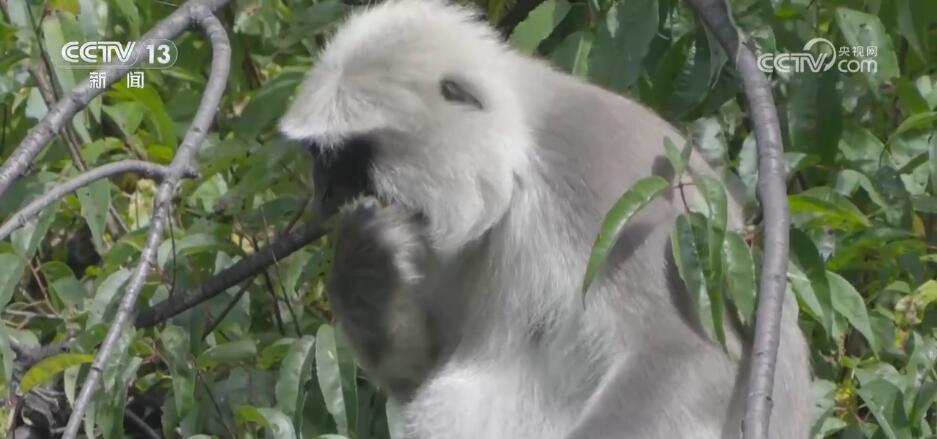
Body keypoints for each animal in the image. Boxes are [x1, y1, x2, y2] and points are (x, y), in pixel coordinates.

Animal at [278, 1, 812, 438]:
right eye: (320, 160)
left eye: (348, 159)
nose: (324, 194)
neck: (516, 168)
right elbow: (419, 370)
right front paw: (364, 266)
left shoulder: (606, 181)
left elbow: (689, 354)